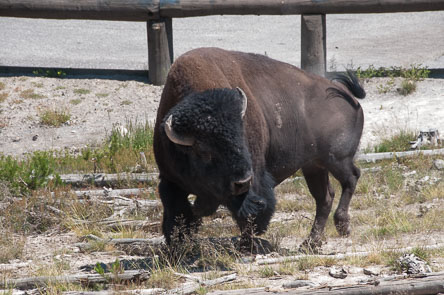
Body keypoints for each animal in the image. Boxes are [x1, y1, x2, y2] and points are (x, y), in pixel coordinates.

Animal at [154, 47, 366, 251]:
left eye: (242, 137)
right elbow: (176, 212)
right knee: (324, 197)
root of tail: (348, 96)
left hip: (336, 159)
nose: (241, 182)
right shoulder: (170, 180)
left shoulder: (254, 179)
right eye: (203, 152)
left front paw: (247, 245)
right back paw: (311, 243)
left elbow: (250, 212)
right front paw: (177, 245)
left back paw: (342, 226)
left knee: (351, 177)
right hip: (314, 167)